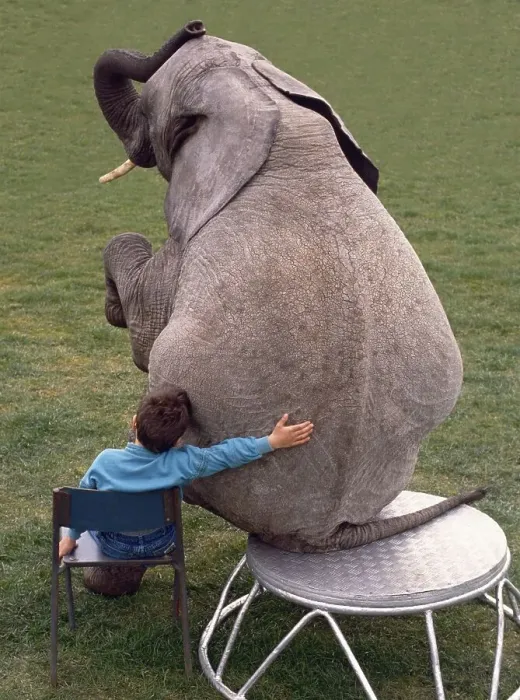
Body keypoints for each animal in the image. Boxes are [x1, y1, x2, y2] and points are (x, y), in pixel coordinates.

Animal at [94, 20, 484, 553]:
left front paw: (114, 308)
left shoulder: (188, 246)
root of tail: (326, 532)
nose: (194, 25)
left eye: (157, 113)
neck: (278, 113)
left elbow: (141, 321)